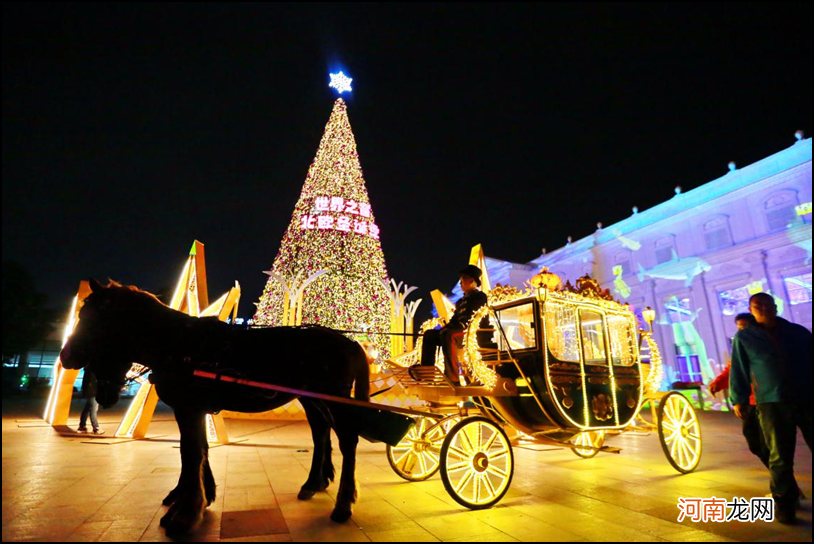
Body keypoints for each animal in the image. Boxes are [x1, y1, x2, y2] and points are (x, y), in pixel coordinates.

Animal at [60, 280, 372, 532]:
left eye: (90, 317)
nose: (65, 356)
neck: (177, 343)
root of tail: (351, 343)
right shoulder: (194, 409)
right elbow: (199, 450)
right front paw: (200, 497)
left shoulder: (188, 407)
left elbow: (191, 453)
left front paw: (185, 512)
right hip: (313, 400)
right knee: (321, 434)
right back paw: (313, 484)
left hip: (333, 397)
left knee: (347, 440)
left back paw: (343, 503)